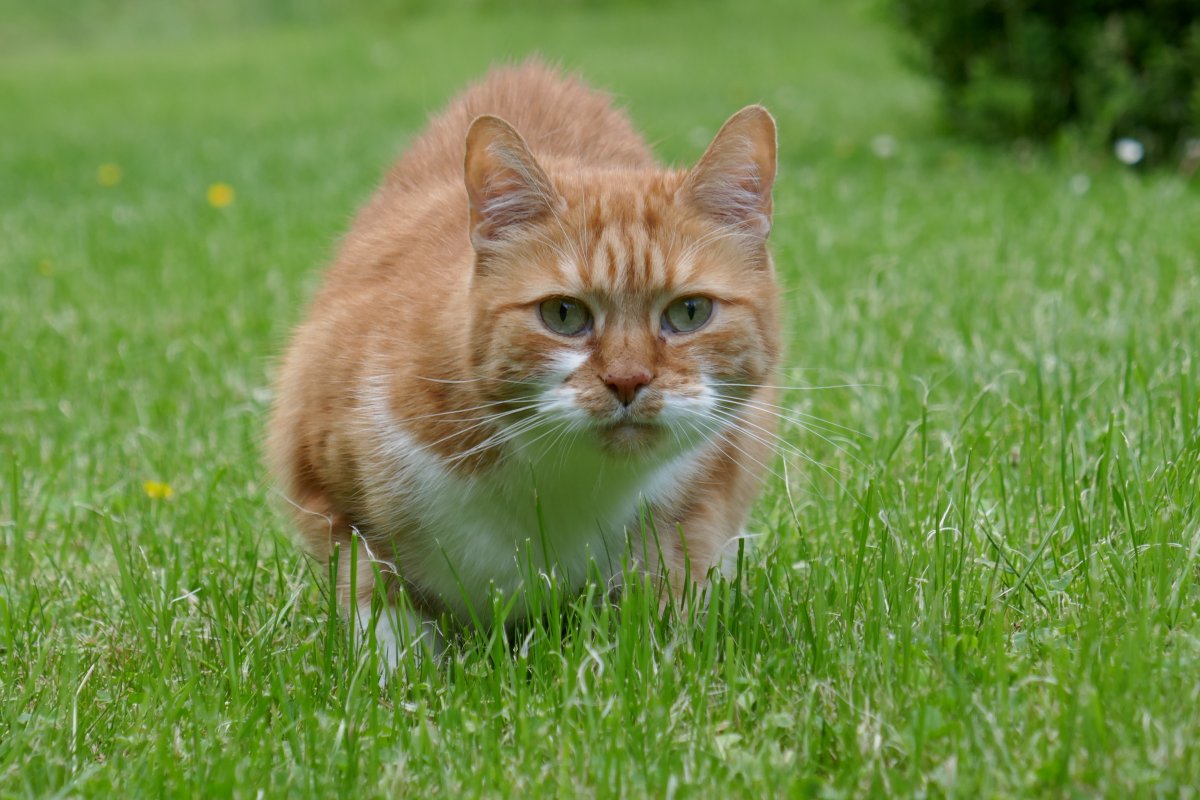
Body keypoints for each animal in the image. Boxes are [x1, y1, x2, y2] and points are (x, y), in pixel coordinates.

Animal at [265, 59, 777, 666]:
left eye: (690, 311)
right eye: (563, 314)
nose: (628, 380)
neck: (560, 485)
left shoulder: (701, 505)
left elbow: (658, 607)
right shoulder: (331, 489)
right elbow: (381, 611)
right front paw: (397, 677)